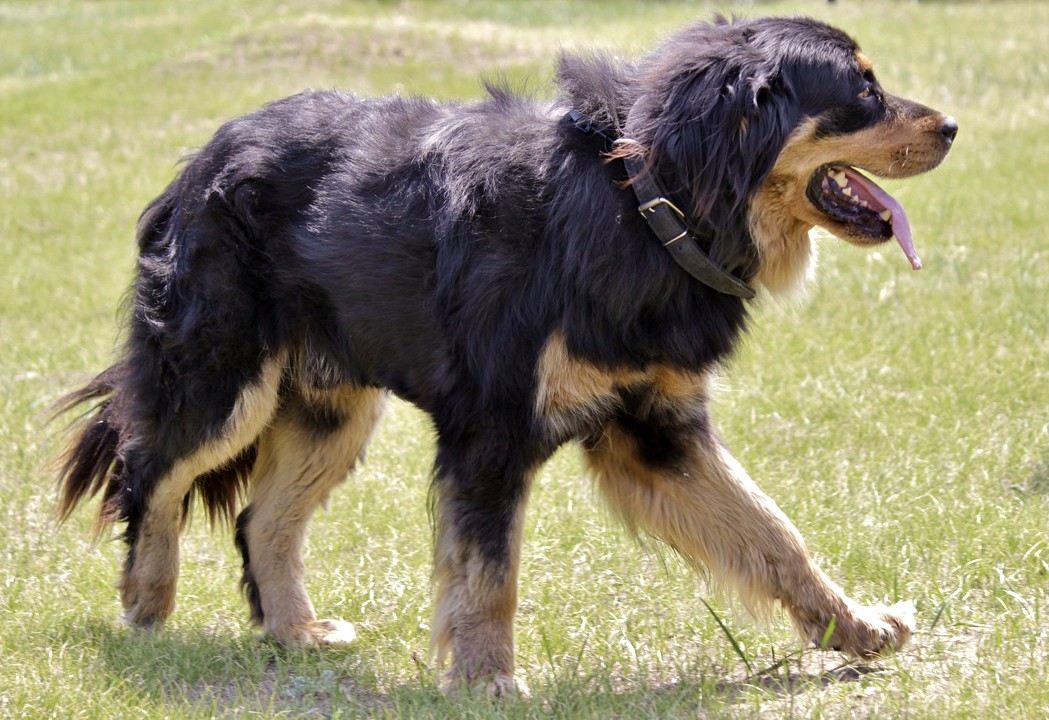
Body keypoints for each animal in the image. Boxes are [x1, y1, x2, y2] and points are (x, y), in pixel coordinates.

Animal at [55, 15, 960, 692]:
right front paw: (487, 678)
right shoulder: (491, 429)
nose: (952, 126)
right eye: (862, 91)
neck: (642, 201)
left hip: (331, 406)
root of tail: (199, 159)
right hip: (224, 378)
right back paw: (147, 608)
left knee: (261, 519)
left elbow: (773, 533)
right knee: (151, 474)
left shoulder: (655, 430)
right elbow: (491, 573)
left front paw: (856, 627)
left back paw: (296, 632)